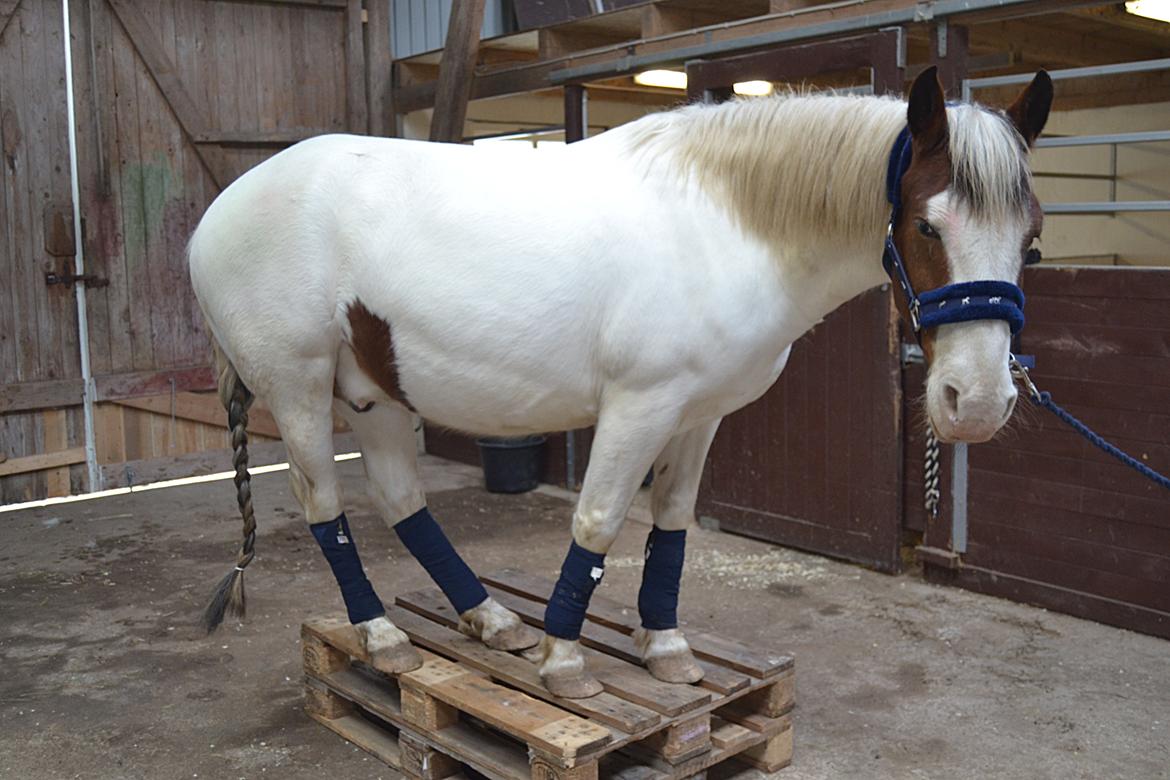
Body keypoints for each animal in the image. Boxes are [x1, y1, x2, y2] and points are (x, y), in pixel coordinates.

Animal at [189, 67, 1053, 696]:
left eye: (1033, 240)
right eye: (926, 226)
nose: (978, 402)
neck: (724, 224)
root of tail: (214, 217)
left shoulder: (700, 413)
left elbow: (671, 521)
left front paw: (662, 644)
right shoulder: (640, 405)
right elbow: (599, 521)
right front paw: (567, 662)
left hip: (373, 392)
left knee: (403, 502)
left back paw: (490, 620)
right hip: (300, 392)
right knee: (324, 509)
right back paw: (380, 633)